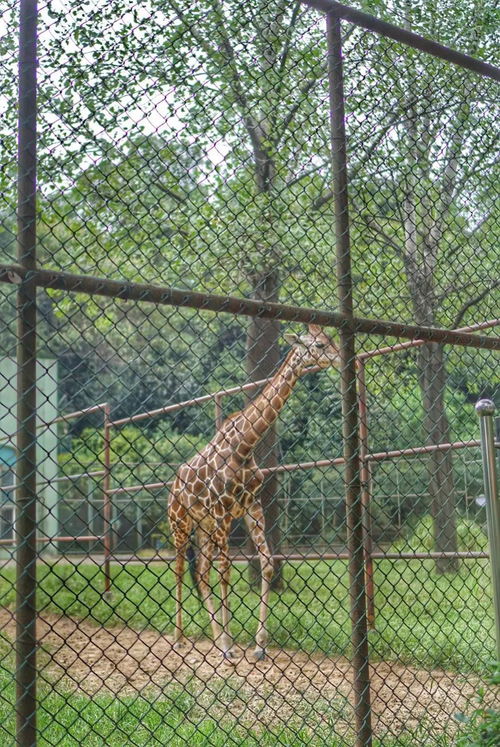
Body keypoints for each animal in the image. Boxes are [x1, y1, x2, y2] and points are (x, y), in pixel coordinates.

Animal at [168, 326, 340, 660]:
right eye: (318, 345)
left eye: (332, 340)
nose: (340, 358)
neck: (245, 445)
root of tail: (172, 485)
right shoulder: (223, 510)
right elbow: (226, 572)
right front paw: (228, 645)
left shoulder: (251, 506)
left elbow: (267, 562)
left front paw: (258, 645)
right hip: (180, 523)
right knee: (182, 569)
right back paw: (182, 638)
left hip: (204, 527)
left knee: (201, 572)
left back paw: (213, 636)